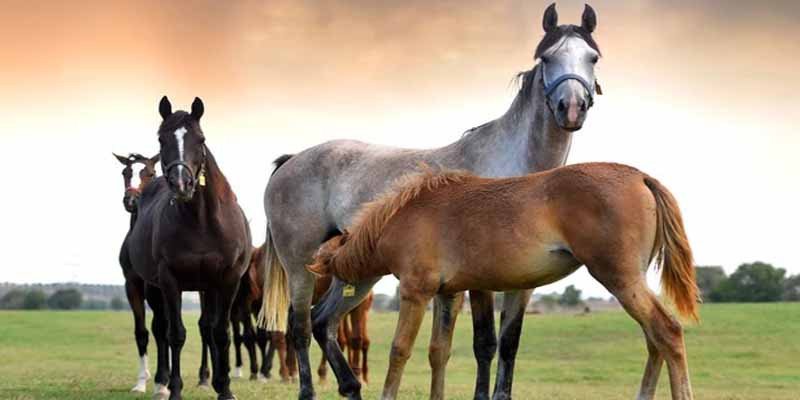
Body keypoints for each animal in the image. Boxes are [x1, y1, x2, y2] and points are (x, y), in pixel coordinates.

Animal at [126, 96, 251, 400]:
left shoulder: (227, 280)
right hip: (152, 287)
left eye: (201, 139)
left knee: (207, 328)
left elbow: (220, 332)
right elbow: (175, 334)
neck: (202, 222)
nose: (182, 183)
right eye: (161, 138)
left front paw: (225, 389)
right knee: (160, 329)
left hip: (207, 287)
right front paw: (175, 390)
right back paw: (160, 384)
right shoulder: (170, 281)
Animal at [259, 4, 603, 399]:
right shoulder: (480, 281)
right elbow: (485, 343)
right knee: (300, 328)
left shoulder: (522, 283)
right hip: (300, 267)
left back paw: (351, 386)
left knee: (323, 322)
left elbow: (508, 343)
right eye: (547, 57)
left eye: (592, 57)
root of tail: (291, 161)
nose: (571, 108)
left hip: (357, 274)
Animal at [308, 163, 700, 400]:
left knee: (666, 331)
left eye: (334, 279)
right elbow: (438, 352)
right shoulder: (447, 295)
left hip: (620, 279)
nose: (320, 312)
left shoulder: (416, 292)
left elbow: (400, 350)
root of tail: (640, 176)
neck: (402, 215)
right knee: (654, 339)